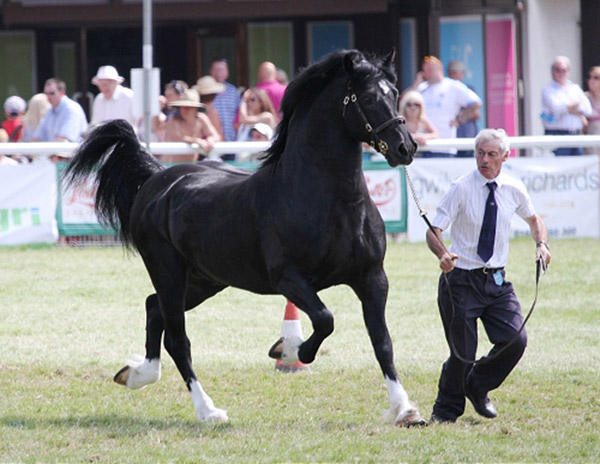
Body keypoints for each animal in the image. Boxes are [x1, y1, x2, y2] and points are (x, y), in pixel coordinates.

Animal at [63, 49, 424, 426]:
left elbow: (382, 342)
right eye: (367, 97)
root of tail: (157, 180)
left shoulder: (372, 278)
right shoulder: (289, 279)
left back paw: (136, 375)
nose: (405, 147)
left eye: (394, 93)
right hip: (168, 272)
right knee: (177, 338)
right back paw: (208, 411)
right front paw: (288, 349)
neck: (327, 201)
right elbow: (325, 320)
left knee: (153, 309)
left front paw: (405, 409)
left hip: (205, 280)